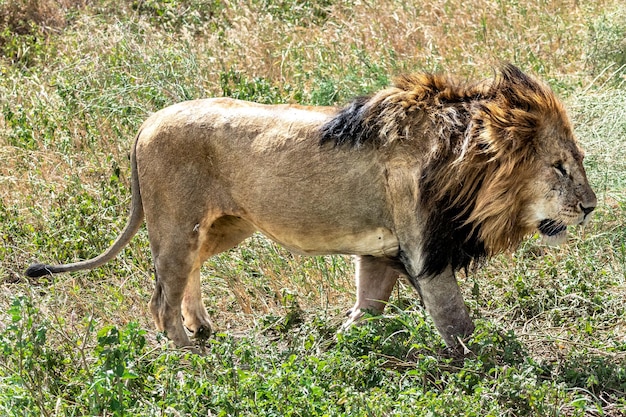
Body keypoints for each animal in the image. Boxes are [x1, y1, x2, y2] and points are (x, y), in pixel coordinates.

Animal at [25, 64, 596, 348]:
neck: (465, 161)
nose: (590, 207)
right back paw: (190, 355)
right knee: (160, 298)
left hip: (222, 227)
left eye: (579, 161)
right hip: (176, 224)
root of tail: (147, 121)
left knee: (186, 278)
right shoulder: (425, 251)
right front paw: (489, 366)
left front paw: (338, 344)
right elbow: (455, 322)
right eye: (559, 167)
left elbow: (367, 306)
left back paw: (203, 329)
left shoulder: (382, 249)